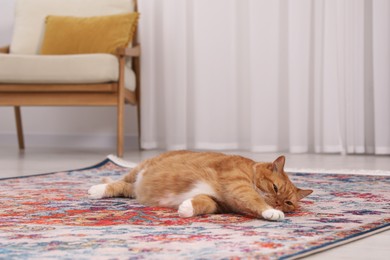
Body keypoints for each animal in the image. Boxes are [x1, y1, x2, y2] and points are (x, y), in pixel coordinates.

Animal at [87, 150, 312, 221]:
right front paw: (271, 211)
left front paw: (186, 208)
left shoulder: (217, 203)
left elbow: (203, 202)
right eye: (275, 188)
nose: (278, 204)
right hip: (138, 169)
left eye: (289, 202)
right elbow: (254, 199)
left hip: (135, 186)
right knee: (118, 182)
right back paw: (96, 190)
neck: (250, 170)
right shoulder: (238, 185)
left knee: (125, 188)